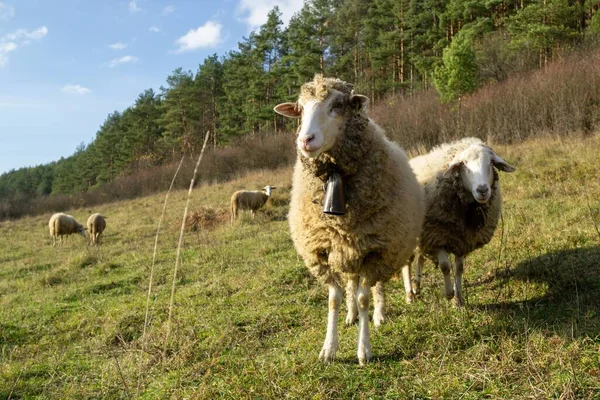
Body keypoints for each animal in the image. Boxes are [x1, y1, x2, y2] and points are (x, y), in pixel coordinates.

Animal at [274, 73, 424, 364]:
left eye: (337, 105)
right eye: (300, 109)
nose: (305, 140)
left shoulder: (376, 250)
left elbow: (366, 297)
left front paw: (364, 350)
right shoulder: (323, 250)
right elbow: (334, 299)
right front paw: (328, 349)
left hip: (381, 247)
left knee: (376, 287)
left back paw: (378, 315)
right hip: (348, 249)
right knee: (352, 282)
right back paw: (351, 315)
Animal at [408, 137, 516, 306]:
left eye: (491, 162)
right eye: (463, 164)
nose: (482, 190)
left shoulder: (461, 240)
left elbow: (459, 268)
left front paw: (458, 299)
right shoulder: (437, 236)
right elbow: (445, 266)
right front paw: (448, 294)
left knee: (420, 257)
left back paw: (417, 286)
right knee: (407, 263)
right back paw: (409, 294)